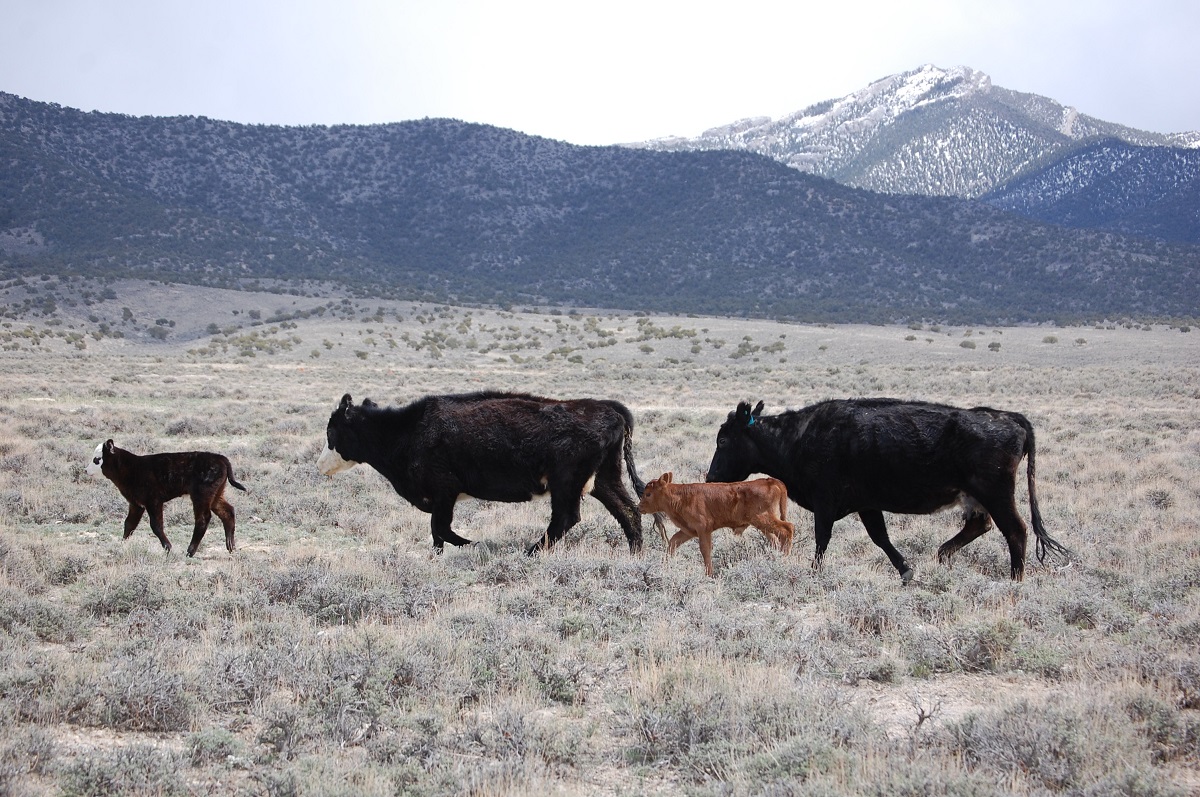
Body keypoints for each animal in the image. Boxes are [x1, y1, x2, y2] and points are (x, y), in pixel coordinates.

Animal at [90, 439, 249, 556]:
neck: (131, 468)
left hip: (201, 495)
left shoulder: (153, 501)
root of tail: (220, 458)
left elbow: (156, 525)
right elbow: (129, 524)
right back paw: (230, 546)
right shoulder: (136, 503)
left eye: (97, 459)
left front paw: (168, 547)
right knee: (228, 512)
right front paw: (122, 545)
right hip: (215, 495)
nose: (86, 470)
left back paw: (190, 551)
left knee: (203, 518)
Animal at [316, 391, 667, 554]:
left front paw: (476, 544)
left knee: (565, 519)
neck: (409, 429)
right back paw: (635, 555)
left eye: (331, 432)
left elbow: (441, 528)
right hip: (603, 478)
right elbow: (436, 533)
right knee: (628, 511)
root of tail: (608, 407)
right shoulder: (441, 497)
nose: (319, 465)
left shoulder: (443, 491)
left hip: (566, 482)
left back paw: (529, 552)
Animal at [638, 470, 796, 576]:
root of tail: (769, 480)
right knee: (775, 539)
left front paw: (709, 574)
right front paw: (665, 564)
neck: (681, 496)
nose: (639, 507)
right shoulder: (688, 531)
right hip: (763, 525)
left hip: (763, 519)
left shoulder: (703, 529)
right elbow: (672, 542)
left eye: (648, 494)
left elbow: (705, 550)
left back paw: (785, 559)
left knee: (787, 529)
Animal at [700, 400, 1070, 583]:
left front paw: (814, 574)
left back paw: (1015, 581)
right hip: (976, 497)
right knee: (980, 526)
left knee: (1016, 531)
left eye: (723, 439)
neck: (798, 436)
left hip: (996, 494)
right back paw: (943, 555)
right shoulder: (867, 504)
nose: (712, 475)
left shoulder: (825, 502)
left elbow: (822, 539)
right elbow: (881, 538)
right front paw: (907, 571)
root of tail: (1010, 418)